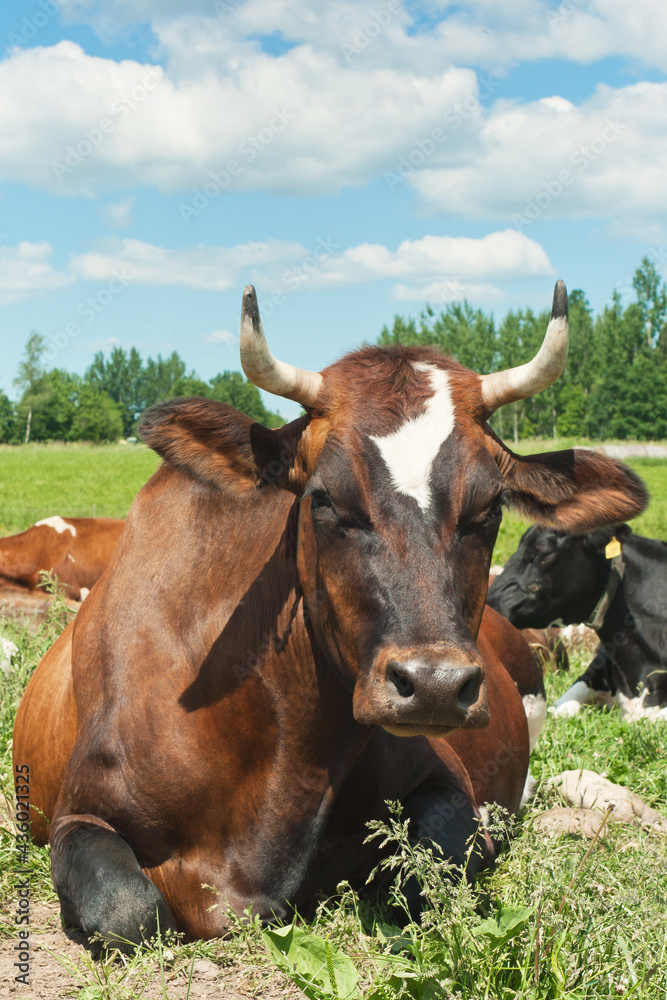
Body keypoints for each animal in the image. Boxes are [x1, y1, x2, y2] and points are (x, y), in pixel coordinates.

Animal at [11, 280, 648, 944]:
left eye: (490, 508)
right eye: (325, 499)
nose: (435, 685)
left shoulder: (447, 781)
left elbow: (431, 878)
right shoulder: (80, 812)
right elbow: (128, 910)